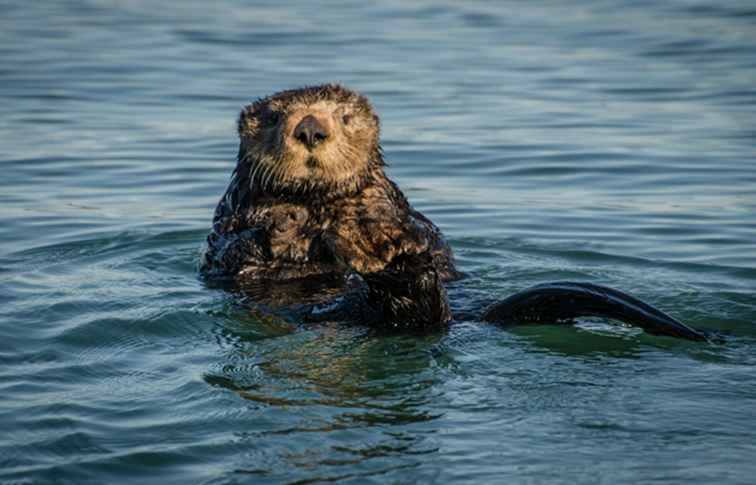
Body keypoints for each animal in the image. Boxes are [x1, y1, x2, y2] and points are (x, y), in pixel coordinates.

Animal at [201, 83, 708, 340]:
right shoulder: (231, 224)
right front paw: (281, 227)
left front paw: (381, 227)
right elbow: (234, 253)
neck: (320, 208)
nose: (309, 128)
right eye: (273, 117)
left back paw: (395, 260)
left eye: (343, 117)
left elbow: (424, 230)